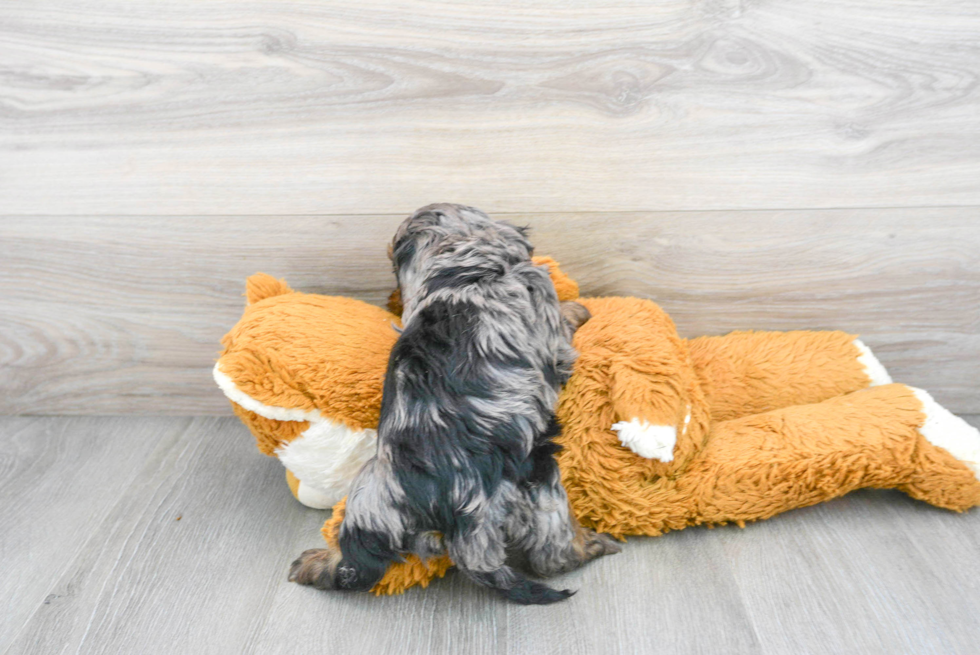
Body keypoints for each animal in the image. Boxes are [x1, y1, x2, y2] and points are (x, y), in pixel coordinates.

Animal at [288, 204, 616, 604]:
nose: (391, 299)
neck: (465, 268)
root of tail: (457, 518)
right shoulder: (551, 332)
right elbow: (564, 322)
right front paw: (578, 309)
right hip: (537, 481)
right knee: (552, 555)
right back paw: (592, 545)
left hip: (371, 496)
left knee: (354, 559)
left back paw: (317, 564)